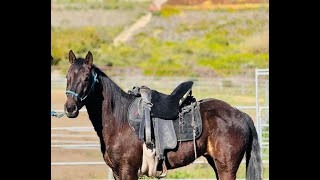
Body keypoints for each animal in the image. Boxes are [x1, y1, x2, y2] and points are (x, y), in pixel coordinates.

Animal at [63, 50, 262, 180]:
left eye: (86, 78)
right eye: (67, 77)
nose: (70, 108)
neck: (119, 121)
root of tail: (240, 114)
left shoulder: (128, 171)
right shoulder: (117, 172)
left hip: (226, 167)